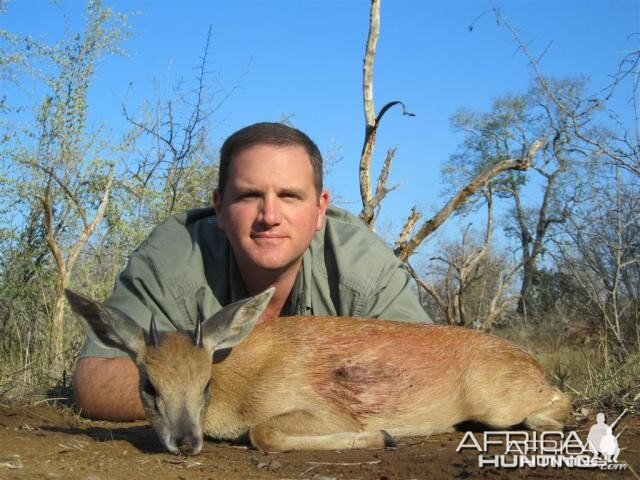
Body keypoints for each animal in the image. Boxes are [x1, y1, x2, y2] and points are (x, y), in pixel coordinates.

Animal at [67, 286, 572, 456]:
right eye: (149, 386)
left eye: (204, 383)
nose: (186, 441)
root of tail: (526, 358)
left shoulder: (324, 412)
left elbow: (263, 433)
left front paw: (381, 437)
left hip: (496, 405)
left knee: (562, 399)